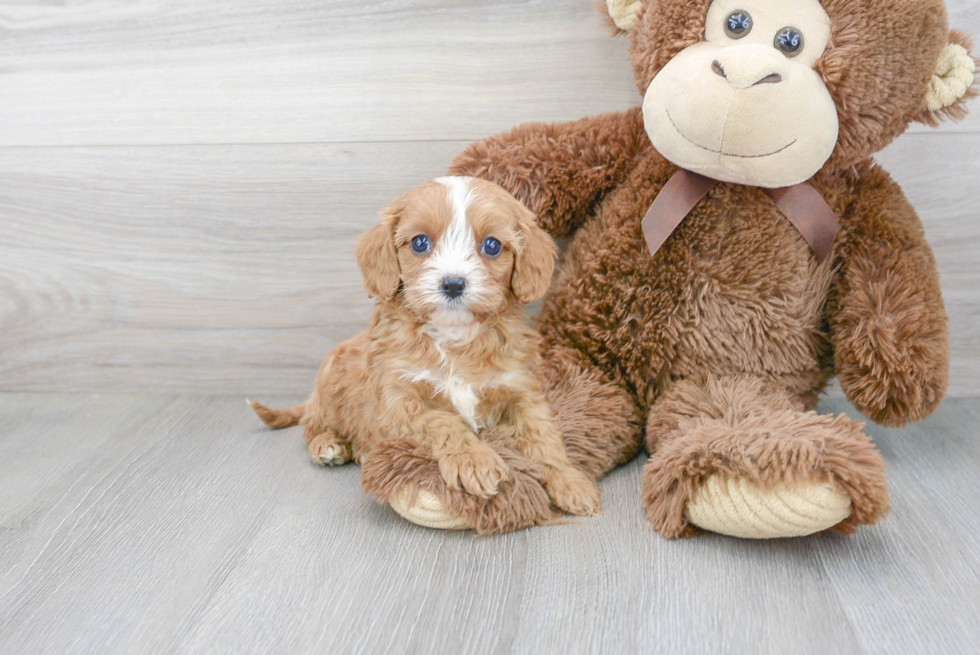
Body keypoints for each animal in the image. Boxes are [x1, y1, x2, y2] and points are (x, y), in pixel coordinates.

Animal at [249, 176, 600, 524]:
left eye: (492, 245)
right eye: (419, 243)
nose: (453, 283)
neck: (454, 336)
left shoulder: (520, 388)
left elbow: (543, 436)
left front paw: (570, 481)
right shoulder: (396, 404)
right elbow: (441, 421)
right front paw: (475, 459)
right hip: (328, 387)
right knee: (311, 427)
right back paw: (330, 445)